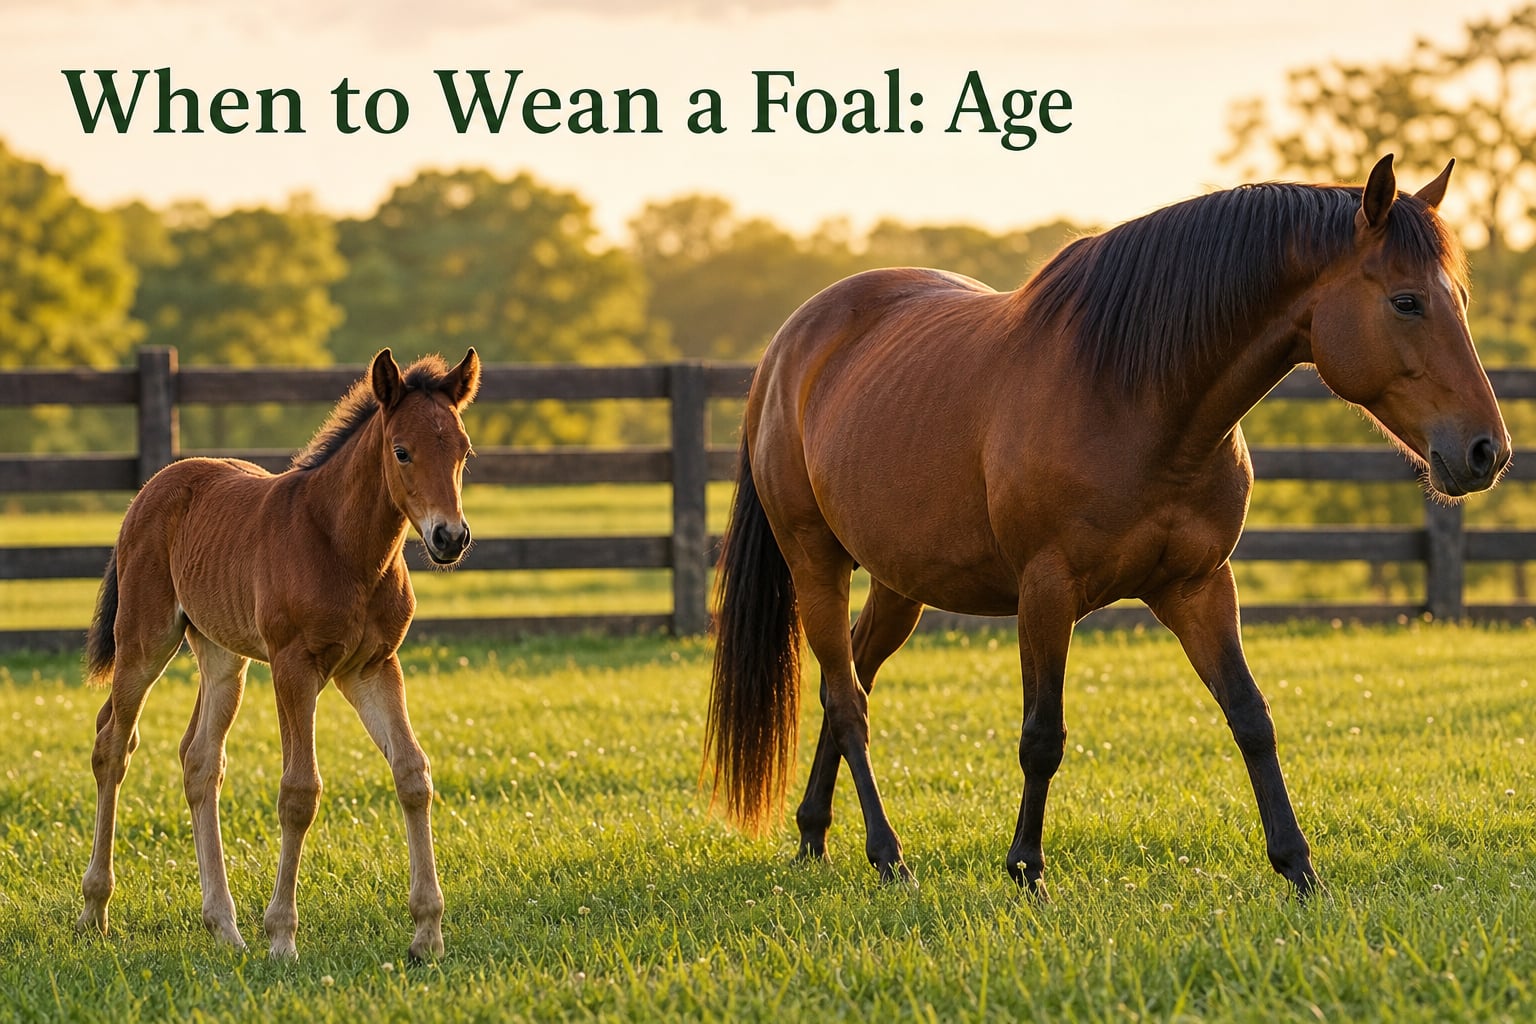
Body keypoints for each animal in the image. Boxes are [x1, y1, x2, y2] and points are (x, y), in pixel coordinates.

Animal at [77, 348, 480, 960]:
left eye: (463, 451)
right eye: (401, 451)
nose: (449, 538)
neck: (343, 546)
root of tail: (151, 487)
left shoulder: (373, 667)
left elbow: (413, 773)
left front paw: (427, 935)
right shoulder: (294, 667)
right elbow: (299, 791)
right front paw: (282, 937)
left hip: (223, 656)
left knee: (200, 760)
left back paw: (224, 927)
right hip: (144, 642)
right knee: (112, 745)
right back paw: (95, 909)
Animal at [704, 155, 1509, 897]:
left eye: (1462, 299)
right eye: (1407, 301)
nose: (1486, 451)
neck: (1137, 396)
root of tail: (789, 346)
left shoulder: (1198, 586)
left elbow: (1251, 717)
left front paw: (1298, 868)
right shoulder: (1046, 591)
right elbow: (1042, 736)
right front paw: (1026, 869)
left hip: (901, 583)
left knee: (852, 681)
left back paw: (814, 833)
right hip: (816, 562)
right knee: (848, 702)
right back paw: (887, 855)